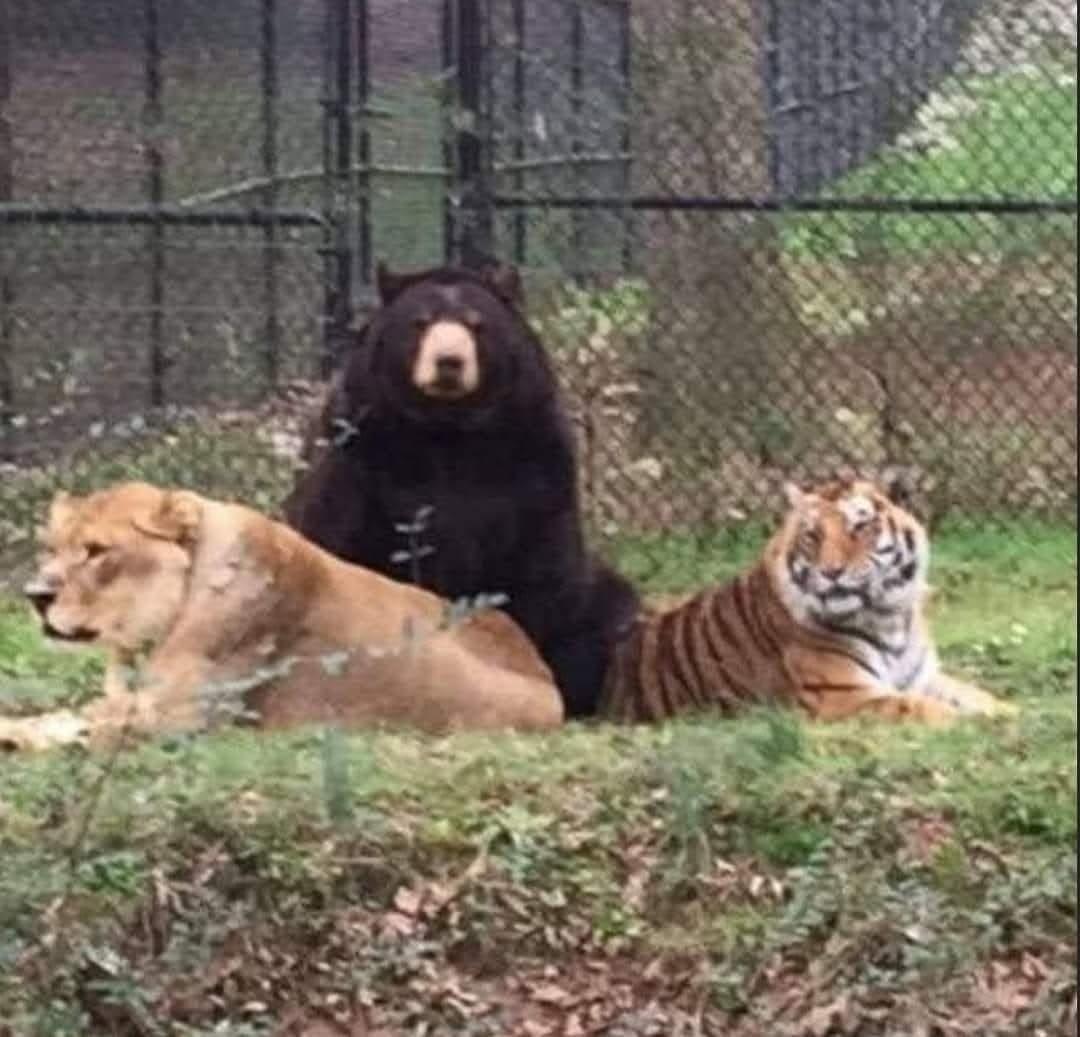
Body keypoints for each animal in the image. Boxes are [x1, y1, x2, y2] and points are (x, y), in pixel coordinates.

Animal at [599, 478, 1017, 726]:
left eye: (860, 526)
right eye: (812, 536)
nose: (831, 572)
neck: (889, 616)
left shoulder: (925, 678)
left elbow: (976, 695)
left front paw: (1009, 711)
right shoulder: (841, 696)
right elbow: (918, 707)